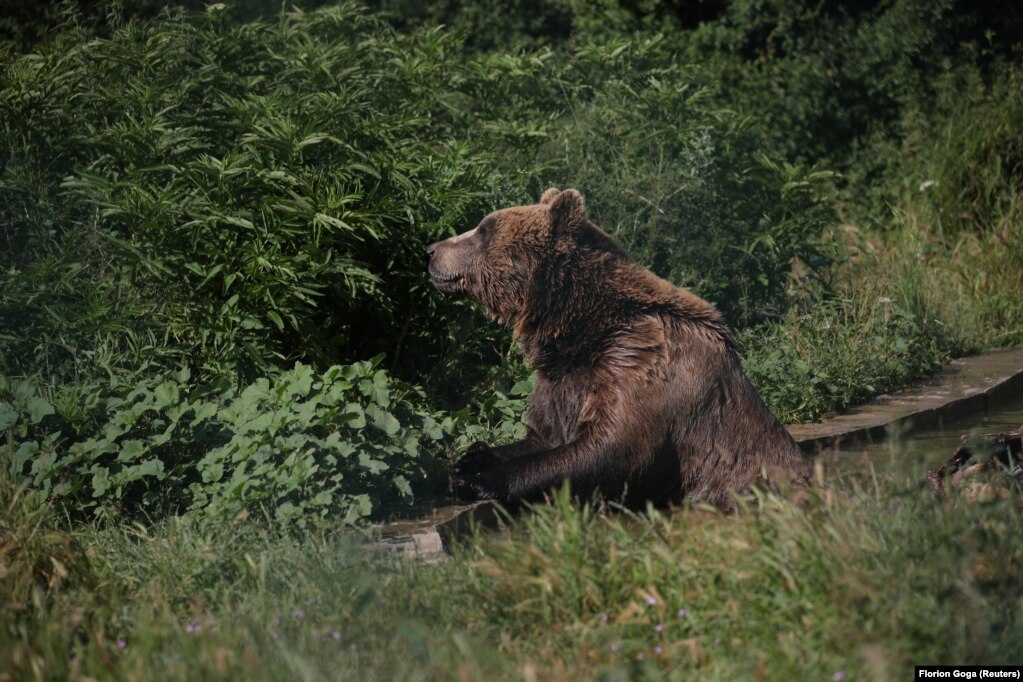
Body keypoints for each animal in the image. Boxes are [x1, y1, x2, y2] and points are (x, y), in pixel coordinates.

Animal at [427, 189, 810, 509]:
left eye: (482, 229)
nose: (431, 249)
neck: (578, 327)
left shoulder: (638, 362)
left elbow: (609, 448)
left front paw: (475, 481)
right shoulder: (562, 381)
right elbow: (544, 435)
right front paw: (473, 457)